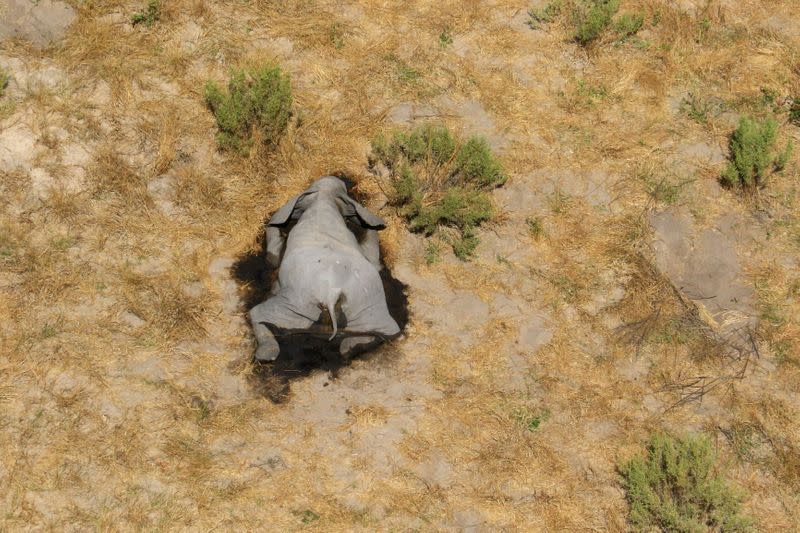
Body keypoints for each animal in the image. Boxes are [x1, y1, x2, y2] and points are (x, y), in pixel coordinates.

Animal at [248, 176, 400, 362]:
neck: (323, 198)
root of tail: (332, 296)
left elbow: (273, 257)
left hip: (295, 304)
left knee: (257, 313)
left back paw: (266, 354)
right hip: (368, 308)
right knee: (388, 332)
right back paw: (349, 348)